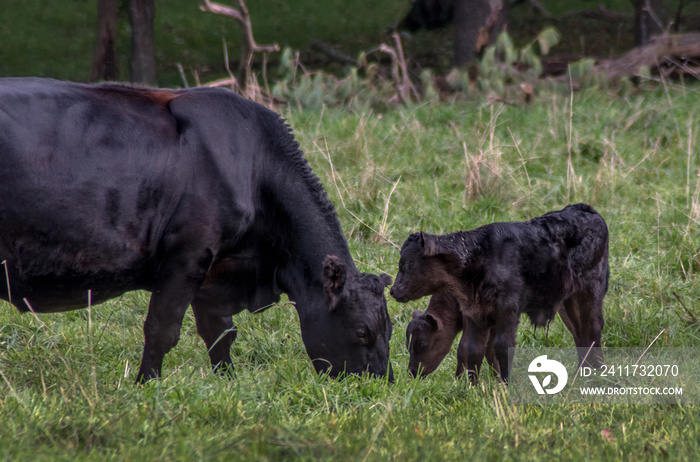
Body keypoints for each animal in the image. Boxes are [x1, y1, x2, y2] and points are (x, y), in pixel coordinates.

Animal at [0, 78, 394, 382]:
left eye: (389, 329)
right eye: (362, 330)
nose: (380, 384)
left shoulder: (213, 267)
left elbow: (220, 332)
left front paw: (228, 381)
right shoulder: (188, 254)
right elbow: (162, 329)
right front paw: (147, 385)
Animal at [392, 205, 608, 382]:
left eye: (408, 263)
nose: (394, 291)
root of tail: (584, 208)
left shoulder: (507, 312)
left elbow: (498, 348)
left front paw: (502, 383)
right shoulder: (477, 314)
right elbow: (474, 350)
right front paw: (470, 386)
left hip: (590, 292)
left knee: (592, 329)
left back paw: (595, 374)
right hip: (567, 302)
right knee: (579, 333)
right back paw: (583, 373)